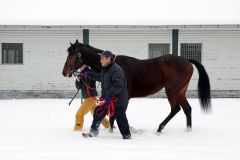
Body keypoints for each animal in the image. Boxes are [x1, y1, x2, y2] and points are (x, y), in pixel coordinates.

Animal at [62, 40, 211, 134]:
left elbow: (115, 115)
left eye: (72, 55)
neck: (112, 66)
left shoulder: (122, 97)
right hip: (180, 92)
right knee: (187, 109)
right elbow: (112, 115)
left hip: (172, 91)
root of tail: (187, 61)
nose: (64, 72)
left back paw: (159, 128)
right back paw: (188, 130)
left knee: (176, 109)